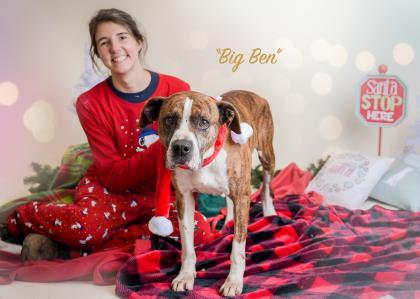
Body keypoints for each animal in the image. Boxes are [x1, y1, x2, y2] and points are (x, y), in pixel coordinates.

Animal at [140, 90, 276, 296]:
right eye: (169, 119)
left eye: (203, 122)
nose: (181, 147)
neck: (206, 160)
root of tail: (254, 94)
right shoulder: (184, 198)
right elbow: (187, 246)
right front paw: (185, 276)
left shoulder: (242, 197)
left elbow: (237, 248)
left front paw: (233, 281)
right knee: (229, 201)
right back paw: (228, 222)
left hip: (266, 155)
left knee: (266, 187)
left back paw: (270, 215)